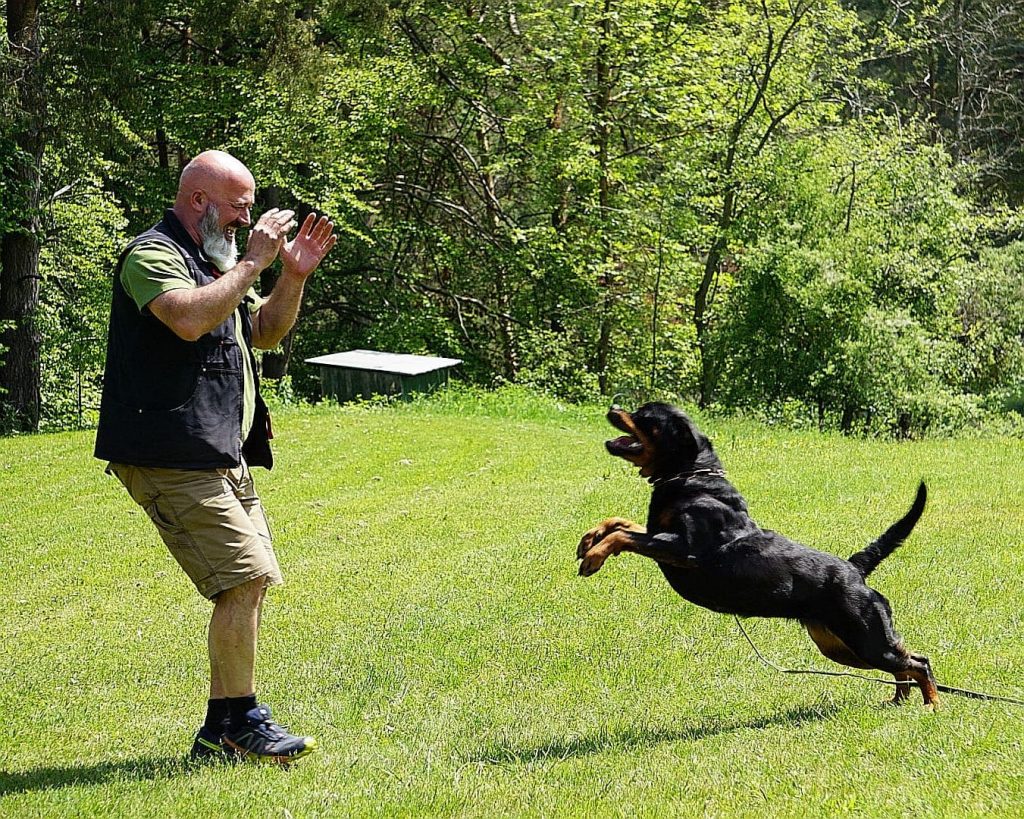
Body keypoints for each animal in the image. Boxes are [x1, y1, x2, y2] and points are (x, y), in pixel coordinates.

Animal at [577, 401, 937, 704]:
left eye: (645, 415)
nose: (613, 407)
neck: (691, 476)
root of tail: (854, 569)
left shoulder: (684, 549)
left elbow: (624, 535)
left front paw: (595, 557)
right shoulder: (660, 536)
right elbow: (621, 523)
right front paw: (589, 540)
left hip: (863, 637)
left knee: (918, 662)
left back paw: (931, 704)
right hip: (839, 645)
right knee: (904, 662)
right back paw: (900, 701)